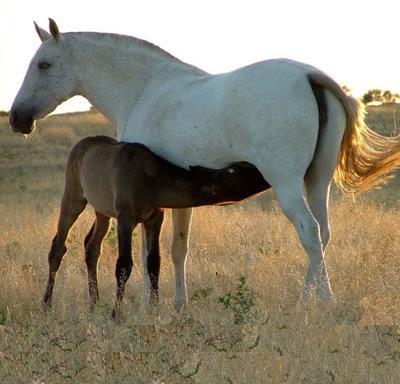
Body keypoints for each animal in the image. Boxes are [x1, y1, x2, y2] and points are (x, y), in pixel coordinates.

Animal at [8, 20, 400, 308]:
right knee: (322, 234)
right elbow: (178, 249)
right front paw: (178, 306)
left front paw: (145, 307)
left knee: (308, 231)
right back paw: (311, 297)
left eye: (43, 64)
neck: (145, 89)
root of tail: (309, 76)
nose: (16, 118)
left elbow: (146, 255)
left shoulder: (140, 205)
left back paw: (316, 303)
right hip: (317, 182)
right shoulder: (177, 200)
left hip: (287, 185)